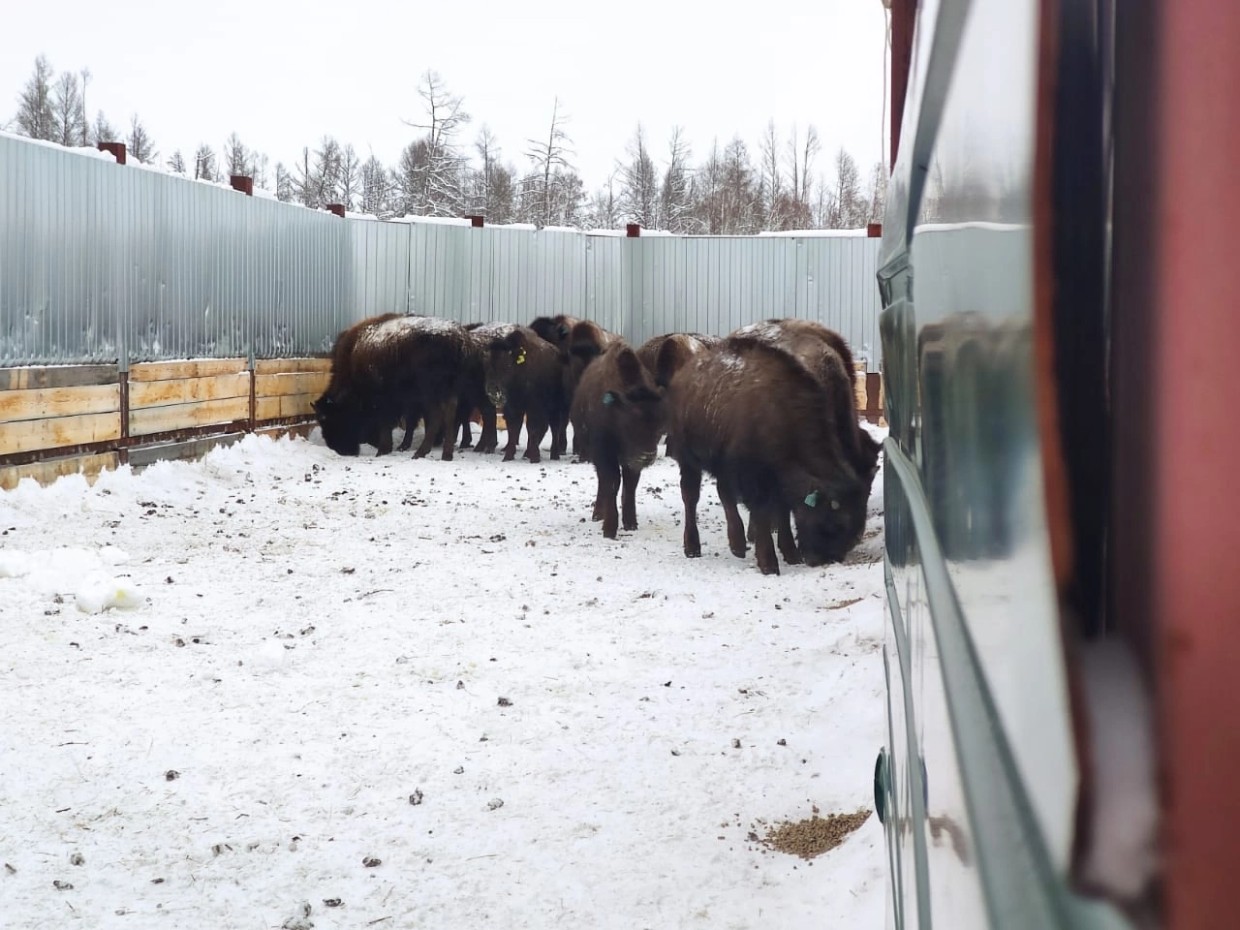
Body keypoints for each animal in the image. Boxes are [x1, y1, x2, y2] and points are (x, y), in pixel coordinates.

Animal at [313, 314, 474, 461]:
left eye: (330, 420)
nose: (342, 450)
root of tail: (458, 339)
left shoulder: (384, 400)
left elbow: (386, 423)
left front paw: (382, 450)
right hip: (449, 391)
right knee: (451, 416)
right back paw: (446, 455)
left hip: (430, 392)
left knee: (436, 416)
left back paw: (420, 453)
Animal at [481, 325, 567, 463]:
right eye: (486, 364)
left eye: (507, 365)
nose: (493, 390)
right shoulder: (512, 407)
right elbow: (513, 429)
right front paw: (508, 456)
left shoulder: (533, 407)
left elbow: (532, 428)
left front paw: (535, 458)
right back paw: (528, 453)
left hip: (554, 406)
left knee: (555, 427)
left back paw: (554, 455)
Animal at [569, 342, 666, 539]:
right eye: (630, 424)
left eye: (659, 427)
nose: (647, 456)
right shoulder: (604, 453)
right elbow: (612, 482)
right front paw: (609, 528)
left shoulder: (630, 461)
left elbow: (630, 485)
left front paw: (630, 523)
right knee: (602, 481)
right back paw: (598, 514)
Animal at [658, 335, 873, 574]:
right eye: (836, 522)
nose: (822, 559)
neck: (784, 418)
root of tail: (683, 375)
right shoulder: (754, 479)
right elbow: (763, 513)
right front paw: (769, 563)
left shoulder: (776, 481)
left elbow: (783, 511)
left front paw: (790, 553)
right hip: (689, 460)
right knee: (691, 496)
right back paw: (693, 547)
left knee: (724, 494)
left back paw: (737, 545)